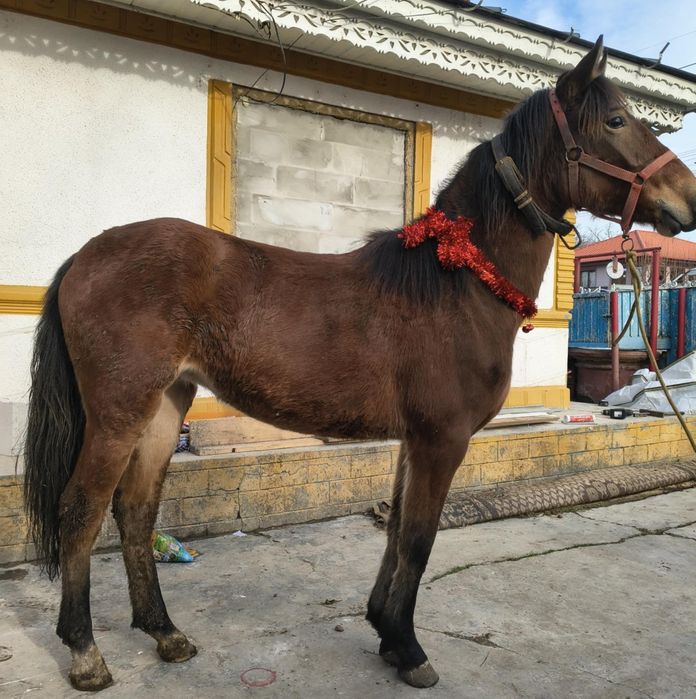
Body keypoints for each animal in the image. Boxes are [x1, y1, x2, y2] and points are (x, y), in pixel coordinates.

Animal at [23, 37, 696, 691]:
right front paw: (409, 648)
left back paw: (164, 633)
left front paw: (385, 631)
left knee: (135, 511)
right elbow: (420, 539)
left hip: (166, 404)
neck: (454, 284)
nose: (687, 199)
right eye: (616, 120)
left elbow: (397, 531)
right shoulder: (442, 439)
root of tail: (85, 255)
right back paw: (85, 654)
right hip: (119, 411)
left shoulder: (415, 440)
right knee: (80, 511)